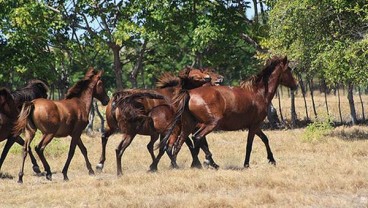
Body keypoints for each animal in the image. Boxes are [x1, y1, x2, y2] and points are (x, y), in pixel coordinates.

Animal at [161, 55, 300, 169]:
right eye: (289, 69)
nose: (296, 85)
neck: (258, 93)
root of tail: (189, 93)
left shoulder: (255, 125)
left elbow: (265, 139)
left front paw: (272, 160)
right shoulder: (254, 125)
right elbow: (249, 145)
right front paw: (246, 164)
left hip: (188, 125)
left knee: (179, 144)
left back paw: (179, 164)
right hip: (211, 124)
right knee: (197, 138)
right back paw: (206, 162)